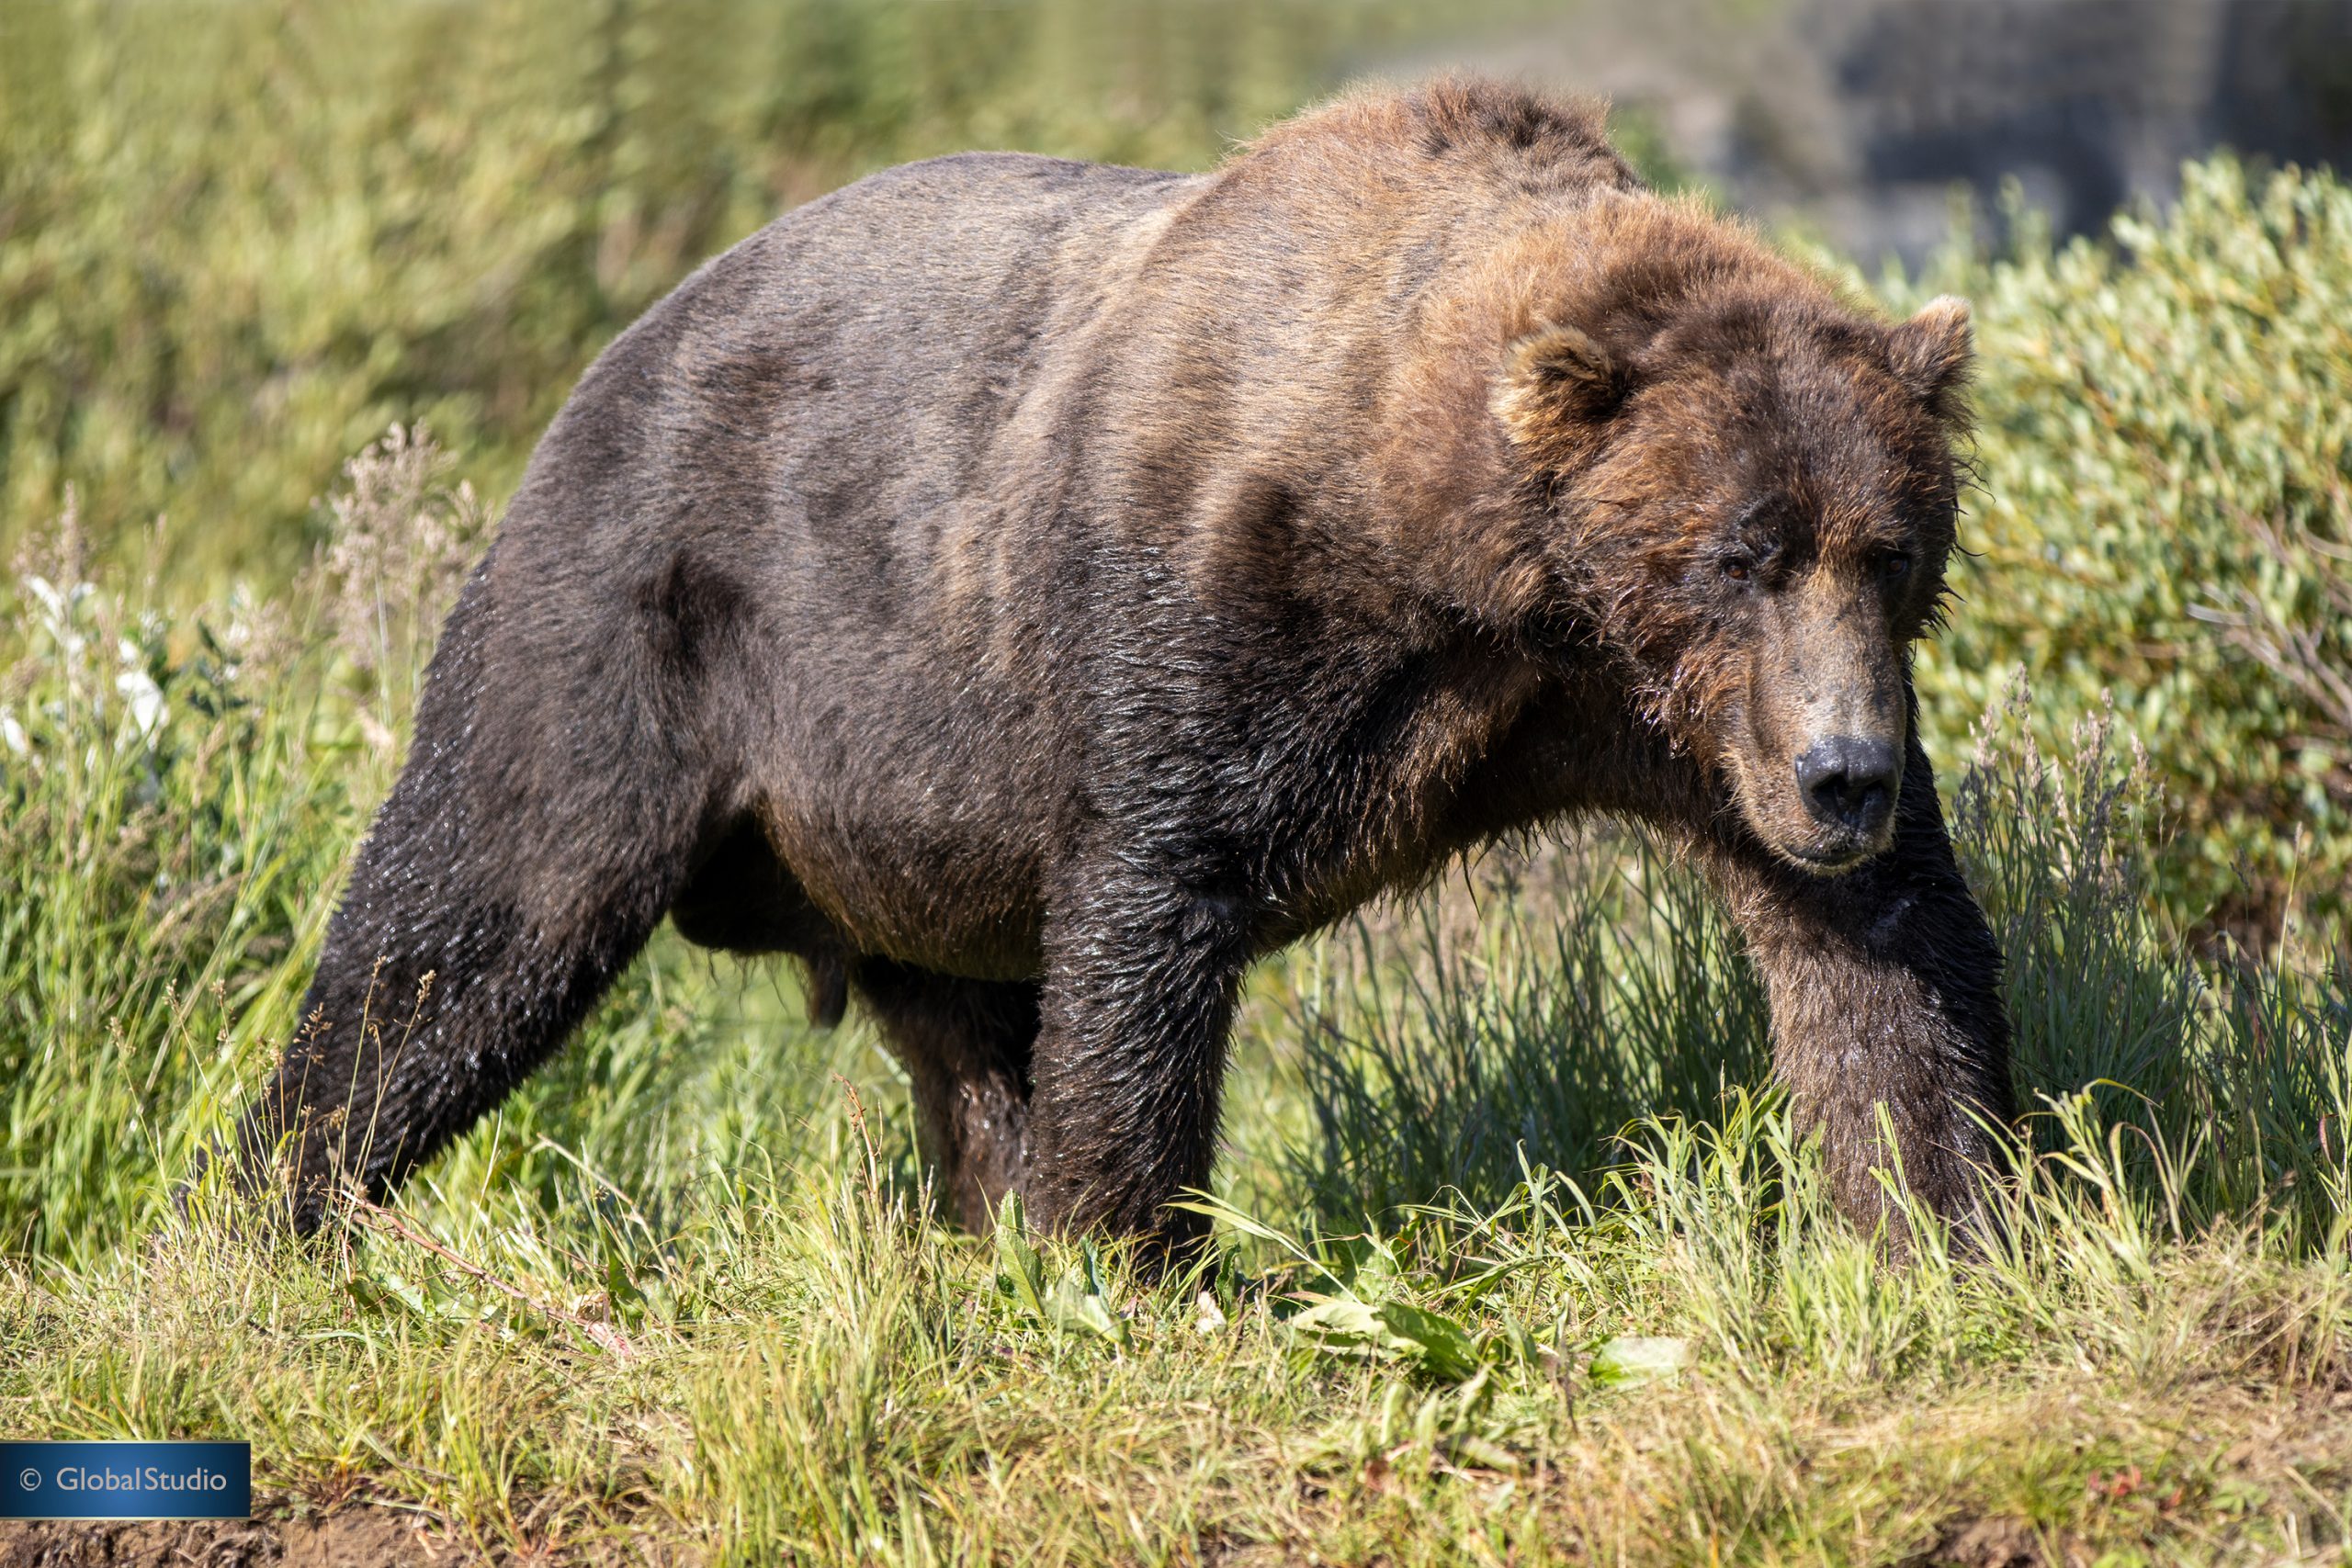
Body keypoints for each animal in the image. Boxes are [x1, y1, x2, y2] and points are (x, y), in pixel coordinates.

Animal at [229, 78, 2013, 1252]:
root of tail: (614, 351)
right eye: (1738, 555)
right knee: (472, 916)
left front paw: (1937, 1213)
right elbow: (1151, 919)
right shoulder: (1222, 623)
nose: (1843, 774)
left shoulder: (1653, 717)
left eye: (1891, 551)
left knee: (964, 1025)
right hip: (637, 623)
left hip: (911, 828)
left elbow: (1882, 950)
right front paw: (1134, 1255)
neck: (1475, 568)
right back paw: (280, 1201)